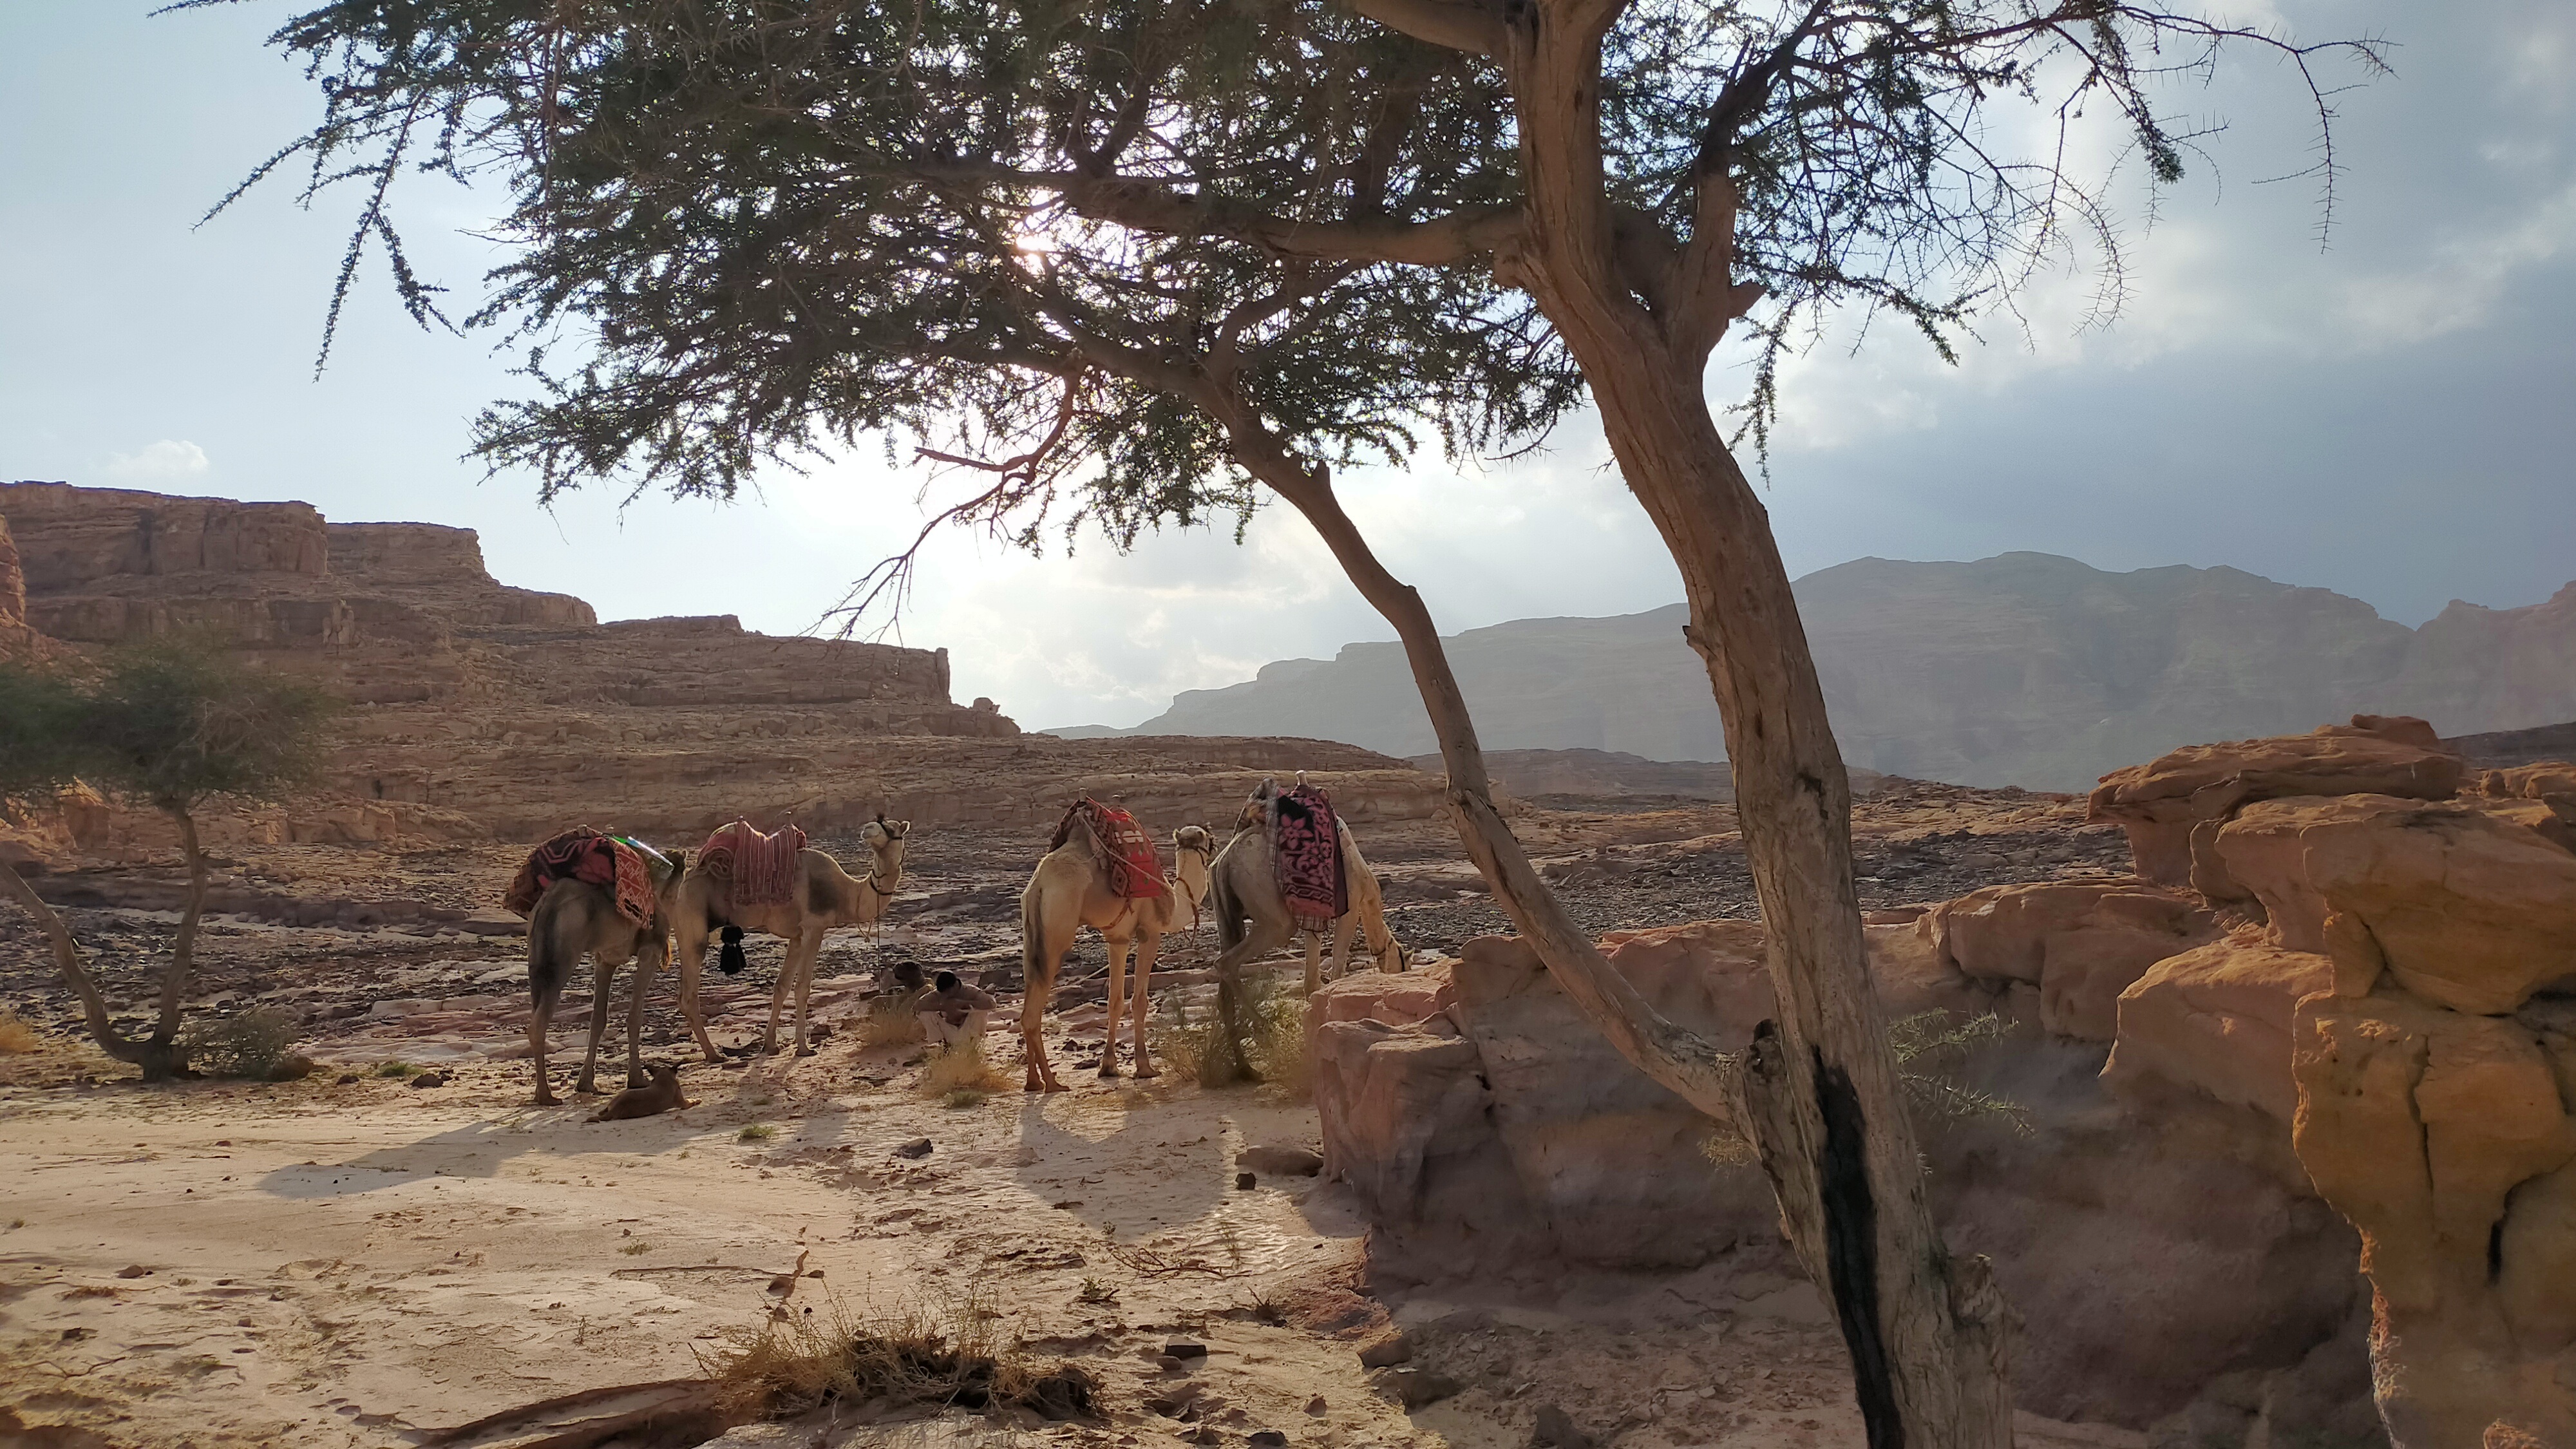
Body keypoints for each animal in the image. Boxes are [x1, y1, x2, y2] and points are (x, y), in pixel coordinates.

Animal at [524, 847, 689, 1108]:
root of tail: (547, 904)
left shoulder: (604, 960)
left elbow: (598, 1019)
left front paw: (586, 1083)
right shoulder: (650, 951)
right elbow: (634, 1016)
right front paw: (637, 1078)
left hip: (536, 958)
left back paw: (540, 1092)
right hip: (564, 955)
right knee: (538, 1024)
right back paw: (546, 1095)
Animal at [672, 817, 910, 1059]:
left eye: (891, 827)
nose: (867, 829)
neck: (846, 894)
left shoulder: (797, 936)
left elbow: (782, 987)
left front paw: (770, 1044)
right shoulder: (815, 927)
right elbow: (803, 988)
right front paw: (804, 1047)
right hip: (692, 922)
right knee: (688, 995)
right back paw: (714, 1054)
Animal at [1016, 822, 1216, 1092]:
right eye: (1206, 838)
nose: (1214, 842)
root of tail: (1038, 885)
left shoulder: (1118, 938)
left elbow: (1114, 1002)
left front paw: (1109, 1067)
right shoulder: (1150, 932)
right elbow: (1139, 1002)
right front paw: (1144, 1067)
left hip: (1031, 935)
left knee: (1028, 1004)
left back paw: (1034, 1082)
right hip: (1056, 930)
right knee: (1033, 1012)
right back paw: (1052, 1082)